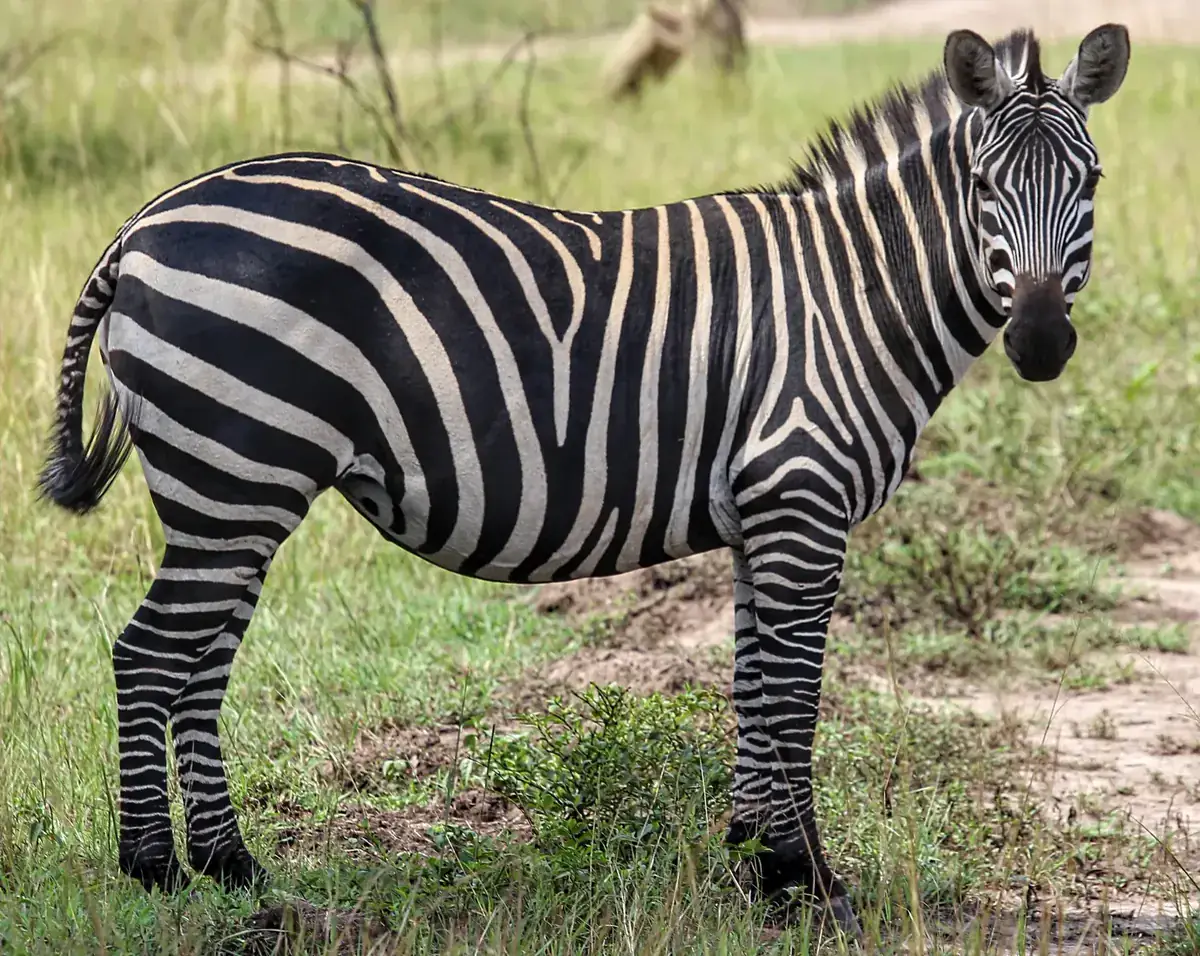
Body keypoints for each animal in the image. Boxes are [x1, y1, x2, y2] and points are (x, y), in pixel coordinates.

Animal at [37, 23, 1129, 936]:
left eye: (1091, 181)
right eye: (984, 186)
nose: (1039, 342)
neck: (855, 295)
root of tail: (145, 222)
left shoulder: (761, 514)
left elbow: (753, 684)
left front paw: (752, 865)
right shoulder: (801, 499)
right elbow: (793, 694)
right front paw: (806, 882)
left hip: (233, 488)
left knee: (196, 665)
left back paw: (232, 866)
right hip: (236, 473)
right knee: (148, 657)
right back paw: (155, 872)